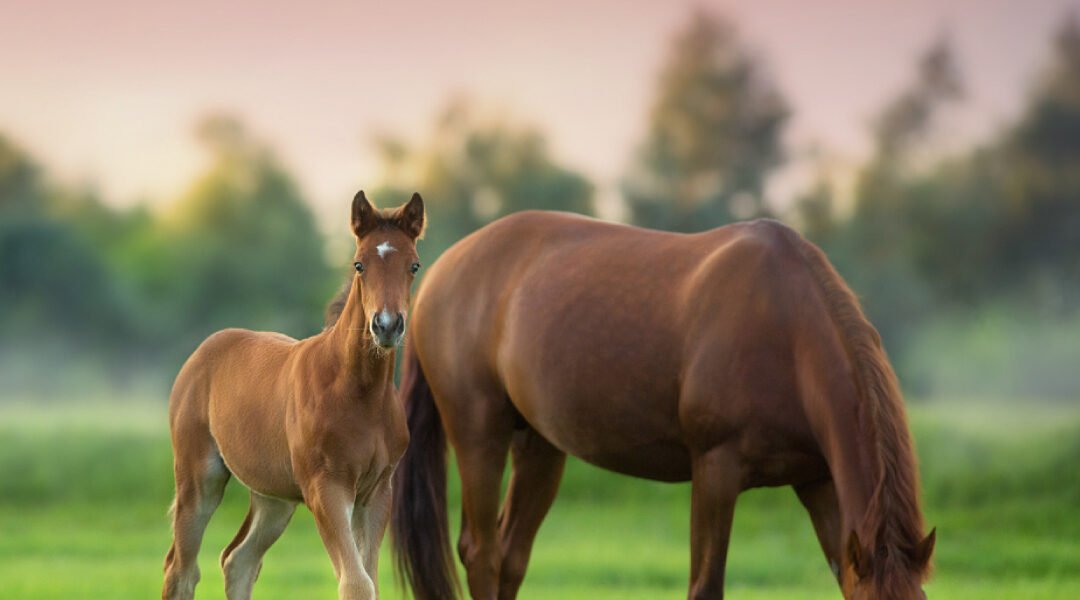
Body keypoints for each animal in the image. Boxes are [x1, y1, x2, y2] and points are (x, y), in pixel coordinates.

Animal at [162, 191, 425, 600]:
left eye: (414, 265)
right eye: (359, 264)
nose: (386, 326)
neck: (359, 393)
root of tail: (204, 350)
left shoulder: (377, 492)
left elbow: (370, 581)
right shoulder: (326, 488)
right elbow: (356, 583)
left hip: (273, 496)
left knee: (238, 561)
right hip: (198, 477)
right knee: (182, 570)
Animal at [382, 211, 936, 599]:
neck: (787, 330)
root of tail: (438, 272)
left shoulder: (818, 481)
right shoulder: (716, 470)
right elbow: (705, 587)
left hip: (540, 448)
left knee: (511, 555)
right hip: (480, 435)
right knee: (483, 554)